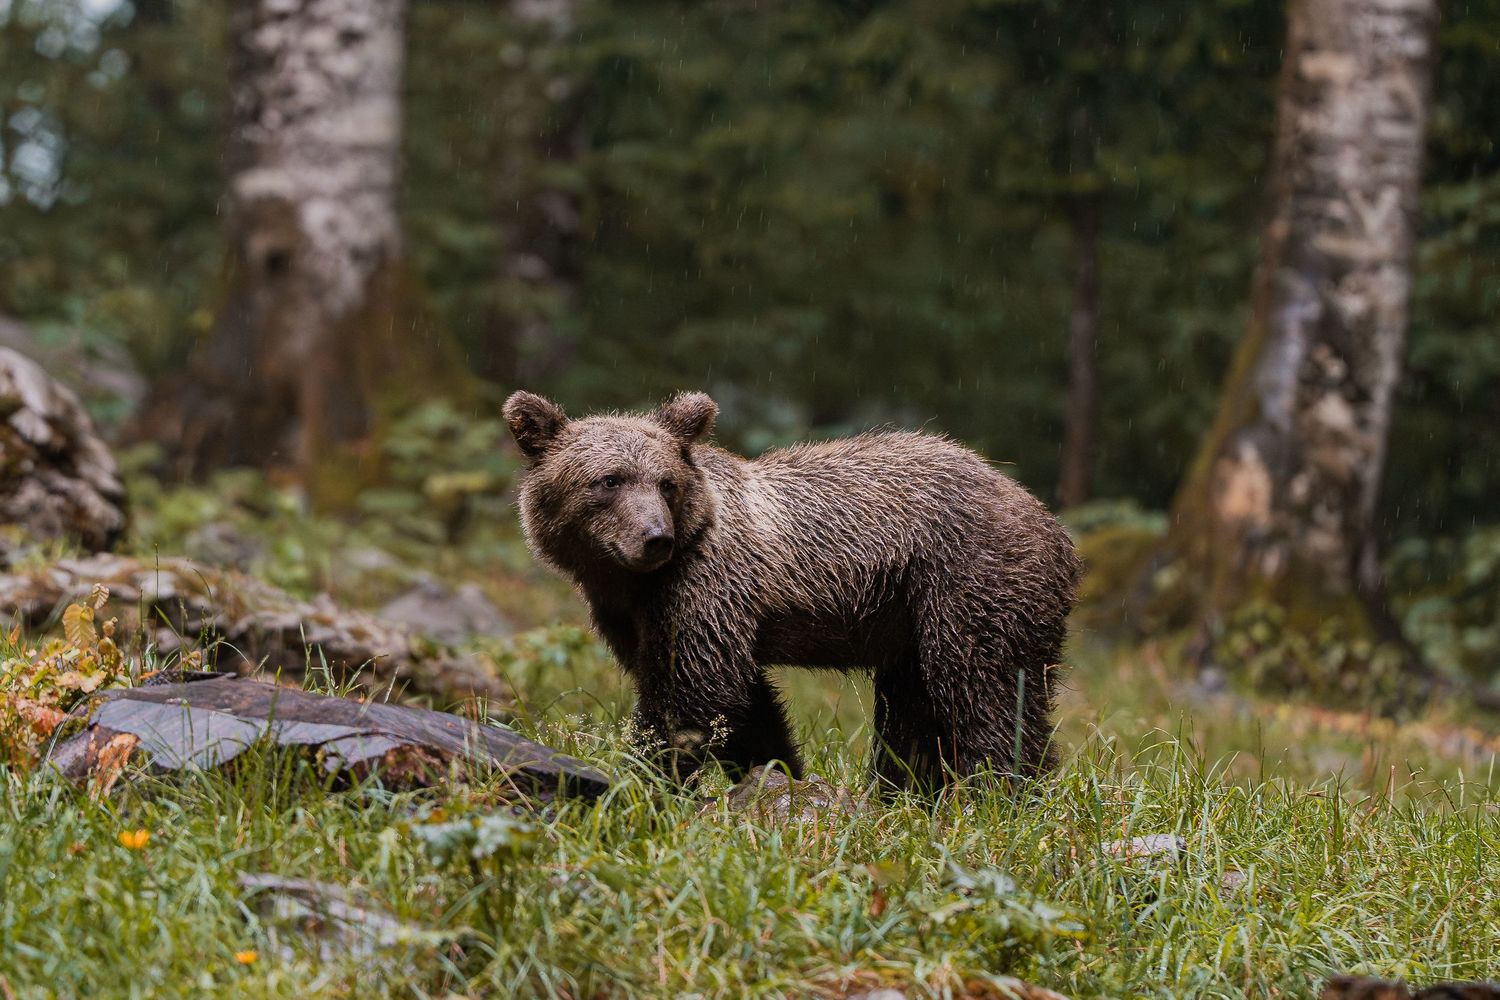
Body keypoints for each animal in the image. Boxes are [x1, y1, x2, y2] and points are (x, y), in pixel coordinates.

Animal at [503, 390, 1081, 791]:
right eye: (609, 481)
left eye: (665, 483)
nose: (655, 537)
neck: (629, 580)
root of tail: (1053, 525)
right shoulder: (632, 612)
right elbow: (745, 702)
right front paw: (779, 769)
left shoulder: (702, 584)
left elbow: (691, 692)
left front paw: (647, 778)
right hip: (912, 617)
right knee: (915, 709)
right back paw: (907, 791)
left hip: (968, 582)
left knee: (984, 689)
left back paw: (999, 788)